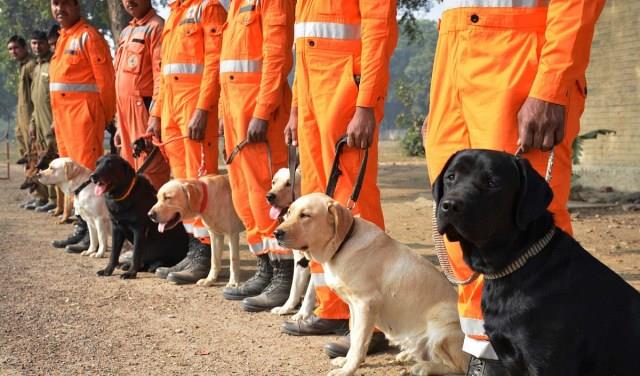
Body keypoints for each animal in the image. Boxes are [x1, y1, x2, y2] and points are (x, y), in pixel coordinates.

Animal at [264, 167, 316, 320]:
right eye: (273, 182)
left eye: (289, 184)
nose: (269, 196)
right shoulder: (300, 260)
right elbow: (294, 288)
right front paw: (285, 308)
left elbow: (310, 292)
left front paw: (302, 314)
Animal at [276, 194, 464, 376]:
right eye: (289, 212)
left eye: (305, 215)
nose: (277, 233)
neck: (343, 244)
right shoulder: (353, 306)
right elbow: (354, 338)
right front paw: (345, 361)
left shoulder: (366, 304)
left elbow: (359, 342)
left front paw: (347, 370)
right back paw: (407, 355)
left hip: (442, 326)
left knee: (458, 367)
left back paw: (424, 367)